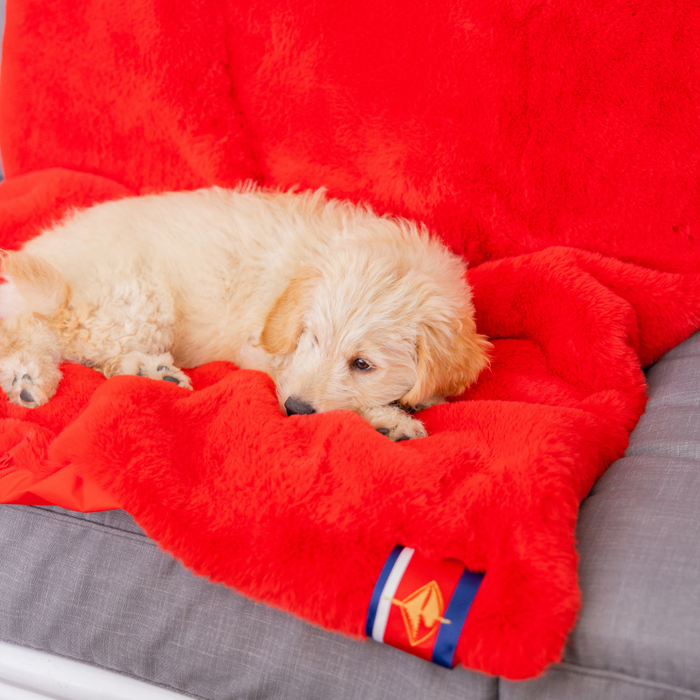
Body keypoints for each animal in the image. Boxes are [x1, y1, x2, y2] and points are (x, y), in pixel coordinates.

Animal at [0, 183, 492, 440]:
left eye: (362, 364)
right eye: (312, 338)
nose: (294, 409)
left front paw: (412, 404)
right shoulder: (264, 353)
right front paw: (390, 421)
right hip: (136, 296)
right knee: (42, 331)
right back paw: (32, 378)